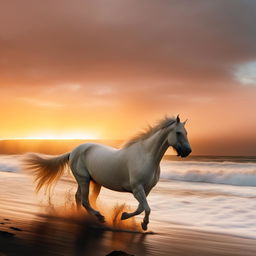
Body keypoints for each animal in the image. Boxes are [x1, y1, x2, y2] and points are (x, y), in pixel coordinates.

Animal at [24, 116, 191, 230]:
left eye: (186, 133)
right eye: (178, 133)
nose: (188, 151)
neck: (146, 156)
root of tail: (73, 151)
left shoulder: (147, 190)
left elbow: (141, 208)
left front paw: (128, 218)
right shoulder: (137, 189)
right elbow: (146, 208)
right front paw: (136, 221)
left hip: (93, 182)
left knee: (79, 198)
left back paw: (80, 216)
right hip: (83, 179)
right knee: (85, 200)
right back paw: (99, 217)